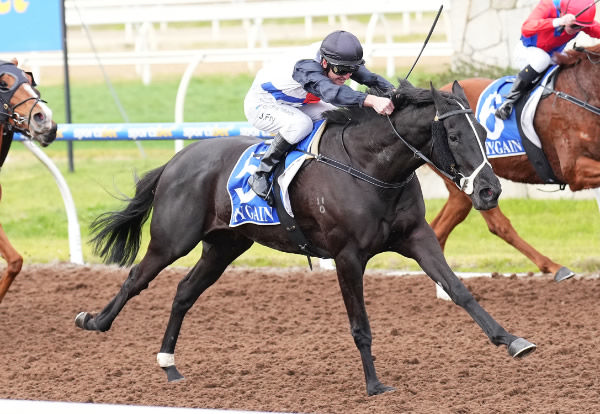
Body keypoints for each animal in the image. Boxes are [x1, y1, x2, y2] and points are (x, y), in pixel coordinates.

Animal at [75, 80, 536, 394]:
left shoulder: (416, 238)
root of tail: (176, 160)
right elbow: (360, 324)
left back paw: (169, 363)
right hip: (173, 239)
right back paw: (94, 321)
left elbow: (459, 289)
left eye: (483, 130)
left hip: (225, 245)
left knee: (185, 291)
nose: (490, 190)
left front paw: (513, 340)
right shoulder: (347, 256)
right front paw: (374, 385)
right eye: (455, 136)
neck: (372, 167)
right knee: (137, 279)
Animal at [428, 45, 600, 284]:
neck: (582, 91)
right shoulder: (574, 169)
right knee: (499, 225)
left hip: (464, 189)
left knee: (438, 230)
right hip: (473, 188)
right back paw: (554, 267)